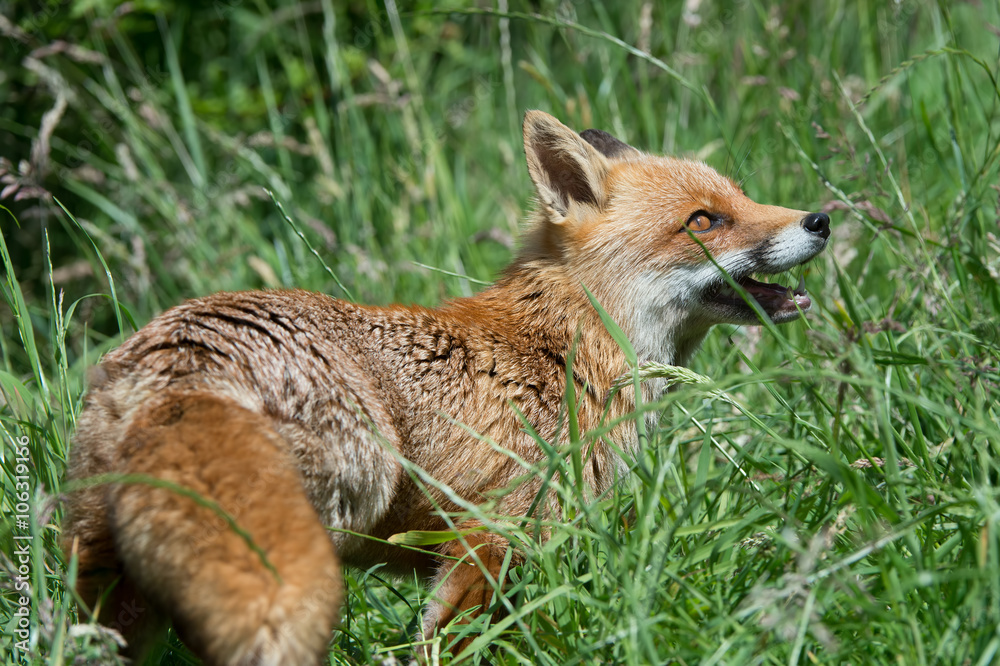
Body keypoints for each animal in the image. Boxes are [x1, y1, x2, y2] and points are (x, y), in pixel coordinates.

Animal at [62, 110, 830, 665]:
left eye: (741, 196)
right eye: (704, 220)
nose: (820, 219)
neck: (564, 345)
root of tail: (186, 362)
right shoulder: (490, 535)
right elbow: (453, 645)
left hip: (115, 590)